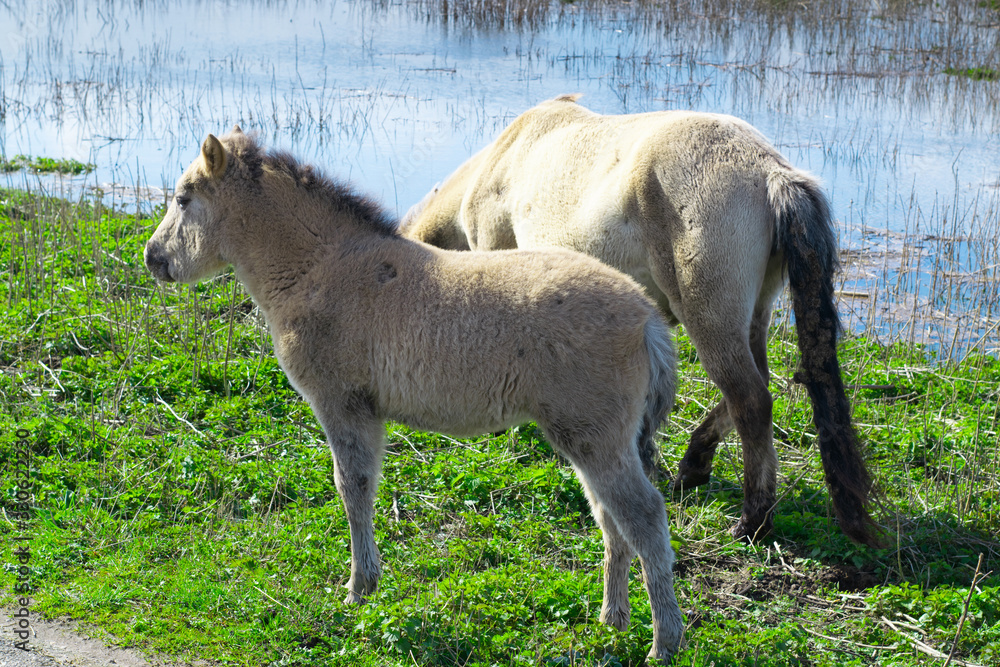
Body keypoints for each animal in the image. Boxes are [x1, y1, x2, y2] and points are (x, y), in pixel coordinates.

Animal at [143, 128, 684, 662]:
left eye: (183, 199)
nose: (153, 258)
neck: (320, 268)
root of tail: (646, 316)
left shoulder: (342, 403)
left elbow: (352, 487)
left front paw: (358, 587)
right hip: (591, 438)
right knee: (610, 518)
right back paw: (613, 620)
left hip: (594, 435)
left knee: (643, 515)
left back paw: (665, 641)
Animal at [400, 94, 881, 547]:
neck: (506, 155)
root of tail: (771, 171)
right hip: (752, 318)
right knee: (754, 388)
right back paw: (692, 469)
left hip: (710, 321)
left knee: (751, 401)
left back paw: (753, 521)